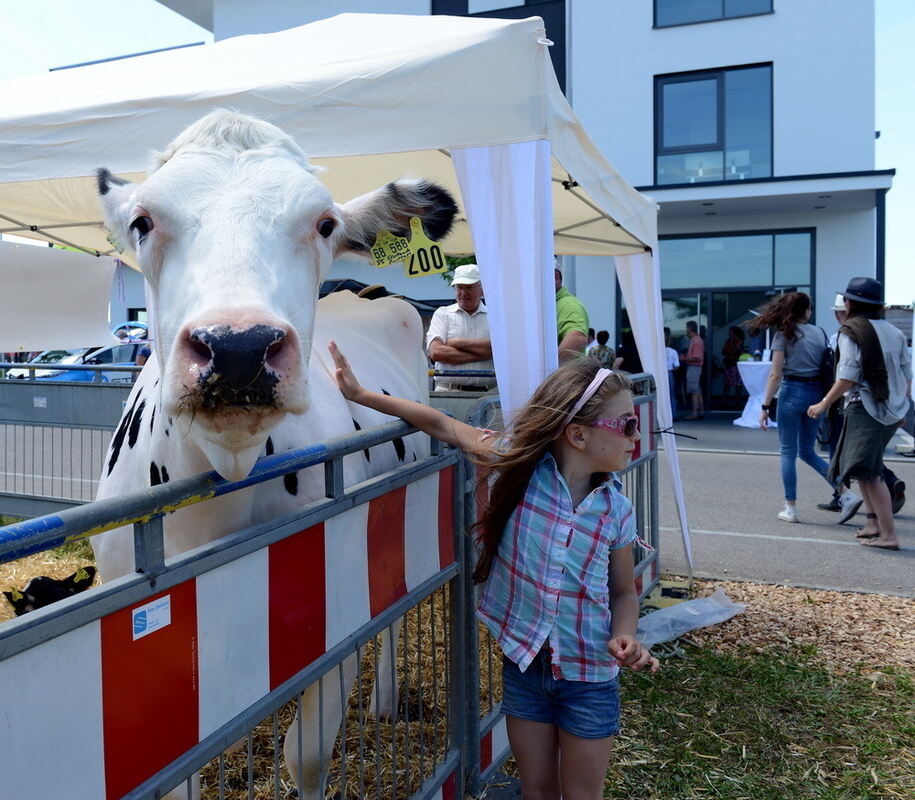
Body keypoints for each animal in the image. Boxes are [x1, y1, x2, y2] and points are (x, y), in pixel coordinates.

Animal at [93, 111, 458, 800]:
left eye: (324, 224)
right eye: (143, 221)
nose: (238, 346)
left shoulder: (334, 616)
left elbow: (306, 755)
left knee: (393, 612)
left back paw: (386, 701)